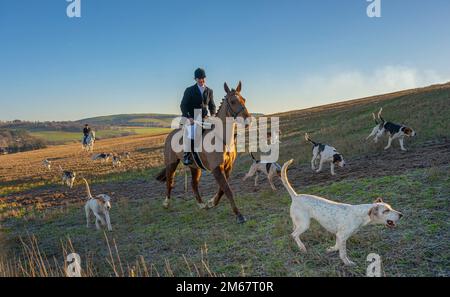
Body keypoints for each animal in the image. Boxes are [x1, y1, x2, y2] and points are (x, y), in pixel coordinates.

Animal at [156, 81, 251, 222]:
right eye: (233, 101)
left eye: (244, 99)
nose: (248, 120)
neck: (222, 138)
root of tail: (170, 134)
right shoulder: (217, 168)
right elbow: (227, 190)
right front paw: (239, 215)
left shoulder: (228, 167)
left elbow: (222, 189)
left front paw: (211, 203)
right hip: (171, 163)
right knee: (169, 181)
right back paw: (166, 203)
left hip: (195, 167)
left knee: (193, 184)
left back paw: (201, 205)